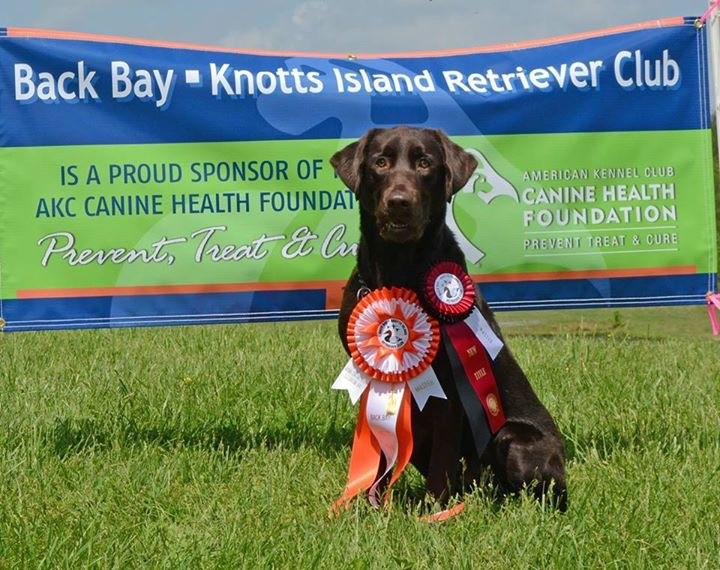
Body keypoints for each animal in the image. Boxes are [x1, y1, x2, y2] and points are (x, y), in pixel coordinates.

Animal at [332, 125, 568, 510]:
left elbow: (442, 460)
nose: (399, 201)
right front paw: (372, 506)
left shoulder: (450, 387)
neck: (399, 271)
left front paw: (433, 510)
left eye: (424, 163)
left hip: (513, 440)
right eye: (380, 162)